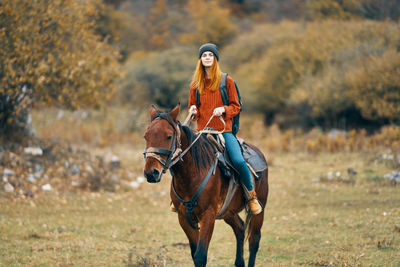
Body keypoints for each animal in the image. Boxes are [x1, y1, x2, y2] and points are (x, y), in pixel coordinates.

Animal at [144, 105, 268, 267]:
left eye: (169, 136)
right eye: (145, 136)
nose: (151, 173)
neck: (192, 176)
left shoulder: (208, 216)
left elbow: (200, 255)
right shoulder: (184, 217)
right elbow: (194, 253)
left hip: (259, 210)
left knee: (254, 240)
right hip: (228, 212)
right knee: (240, 228)